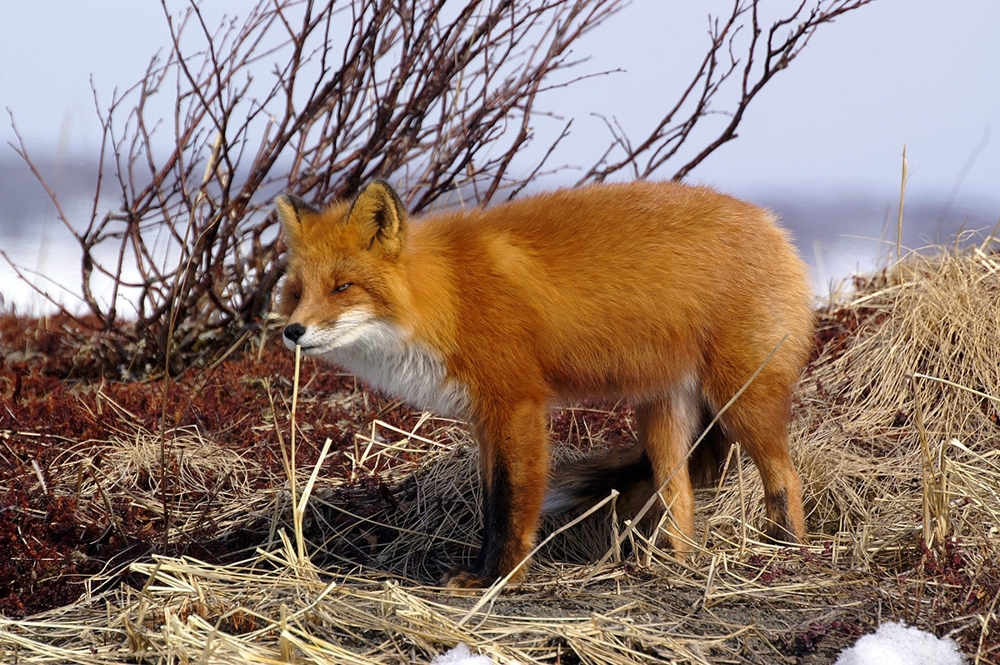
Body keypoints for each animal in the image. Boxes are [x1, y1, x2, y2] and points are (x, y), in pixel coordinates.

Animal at [276, 179, 812, 588]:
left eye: (343, 287)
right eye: (298, 292)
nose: (293, 331)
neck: (449, 297)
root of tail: (772, 224)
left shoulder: (516, 404)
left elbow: (511, 501)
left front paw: (499, 580)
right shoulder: (485, 418)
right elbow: (492, 500)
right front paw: (485, 573)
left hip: (741, 399)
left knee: (785, 476)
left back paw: (783, 551)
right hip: (663, 417)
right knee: (679, 497)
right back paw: (666, 566)